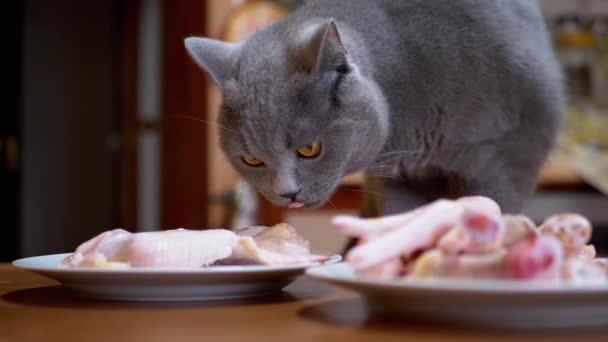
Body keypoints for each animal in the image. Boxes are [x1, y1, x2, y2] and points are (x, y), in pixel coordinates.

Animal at [186, 0, 564, 216]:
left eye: (310, 148)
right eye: (252, 160)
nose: (287, 193)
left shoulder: (506, 157)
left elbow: (499, 205)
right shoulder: (395, 178)